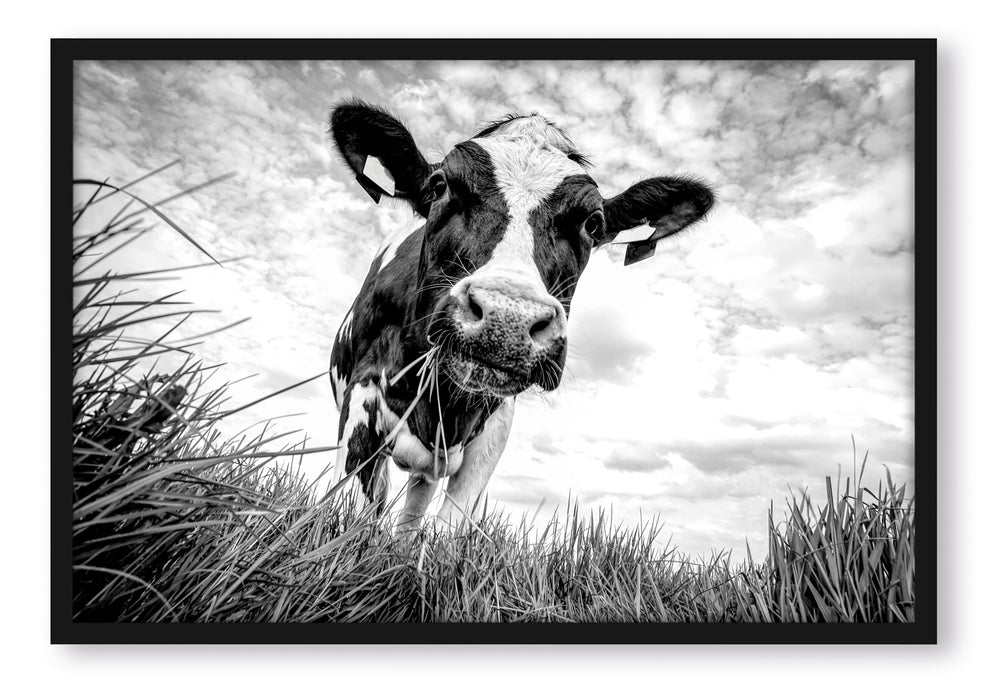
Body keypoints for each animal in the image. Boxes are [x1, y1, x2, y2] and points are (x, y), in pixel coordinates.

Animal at [327, 99, 715, 531]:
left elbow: (450, 524)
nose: (506, 320)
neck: (442, 399)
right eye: (440, 186)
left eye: (593, 223)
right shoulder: (362, 390)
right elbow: (354, 516)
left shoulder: (495, 423)